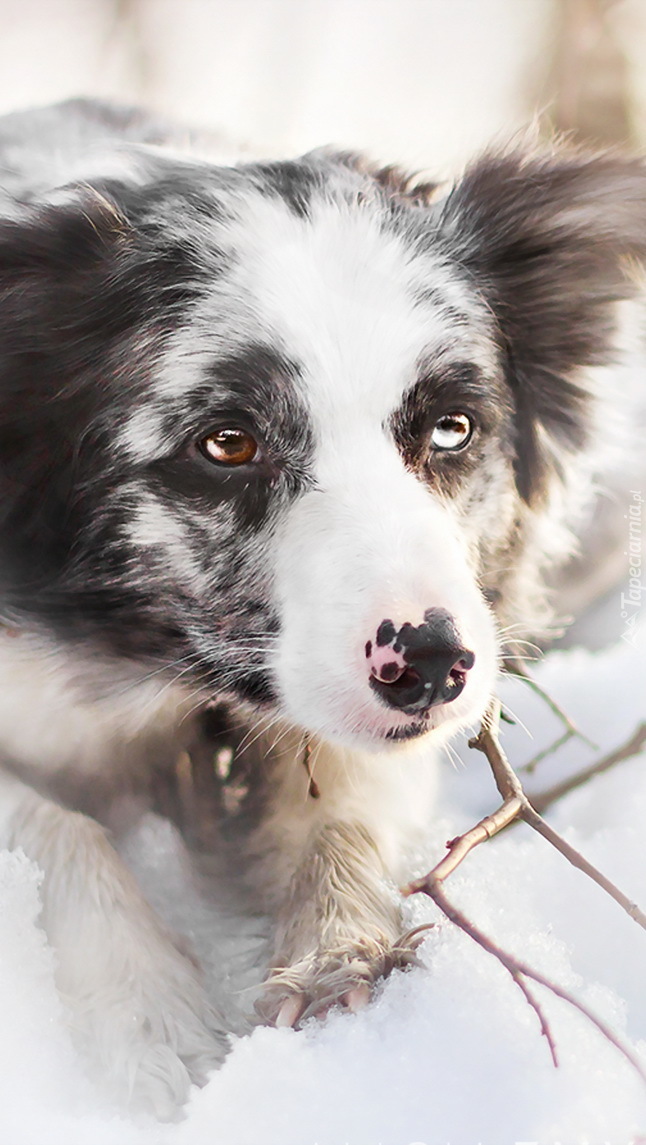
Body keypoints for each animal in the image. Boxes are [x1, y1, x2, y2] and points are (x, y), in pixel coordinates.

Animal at [0, 98, 641, 1117]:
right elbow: (55, 823)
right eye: (227, 442)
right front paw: (149, 1021)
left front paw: (340, 954)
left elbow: (345, 806)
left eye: (451, 428)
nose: (430, 663)